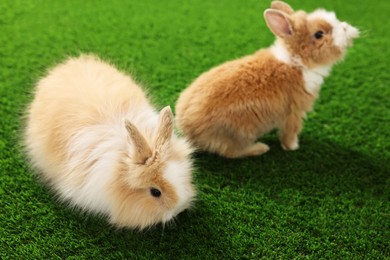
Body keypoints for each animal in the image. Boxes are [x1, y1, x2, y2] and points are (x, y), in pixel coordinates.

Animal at [176, 0, 360, 158]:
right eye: (319, 34)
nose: (348, 29)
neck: (297, 61)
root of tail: (187, 131)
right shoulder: (294, 111)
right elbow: (290, 131)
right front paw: (293, 147)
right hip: (238, 132)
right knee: (230, 152)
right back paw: (260, 148)